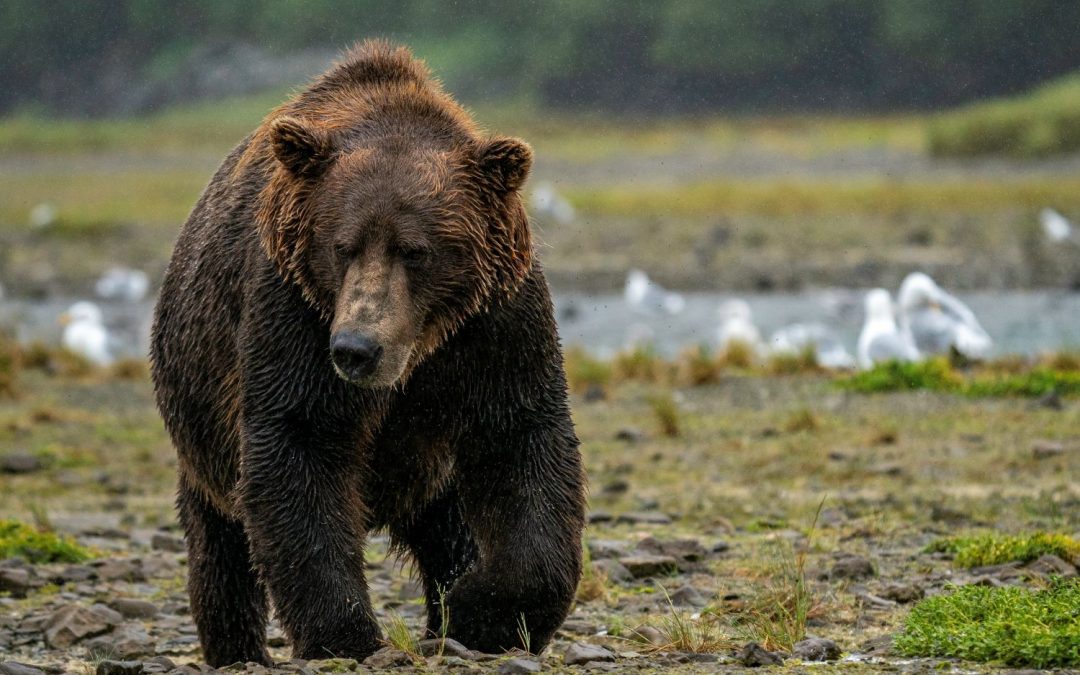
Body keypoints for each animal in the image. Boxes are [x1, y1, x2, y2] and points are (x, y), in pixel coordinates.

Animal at [150, 40, 586, 666]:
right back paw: (237, 646)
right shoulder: (295, 314)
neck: (420, 349)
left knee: (450, 528)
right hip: (201, 420)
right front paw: (345, 633)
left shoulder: (493, 325)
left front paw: (483, 613)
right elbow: (301, 445)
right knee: (219, 540)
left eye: (416, 250)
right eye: (342, 246)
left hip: (430, 470)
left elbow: (522, 441)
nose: (357, 348)